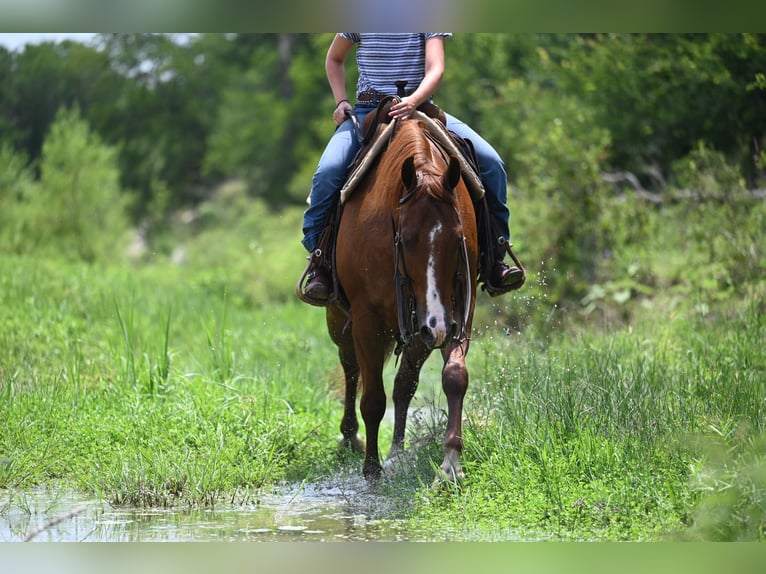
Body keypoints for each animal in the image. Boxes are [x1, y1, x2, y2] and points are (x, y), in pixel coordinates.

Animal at [326, 113, 479, 482]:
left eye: (457, 238)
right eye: (406, 240)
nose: (437, 326)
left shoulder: (458, 311)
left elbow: (455, 377)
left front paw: (451, 464)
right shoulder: (365, 320)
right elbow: (372, 399)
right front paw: (371, 469)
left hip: (419, 329)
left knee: (403, 383)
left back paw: (396, 450)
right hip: (341, 321)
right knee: (351, 368)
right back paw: (351, 437)